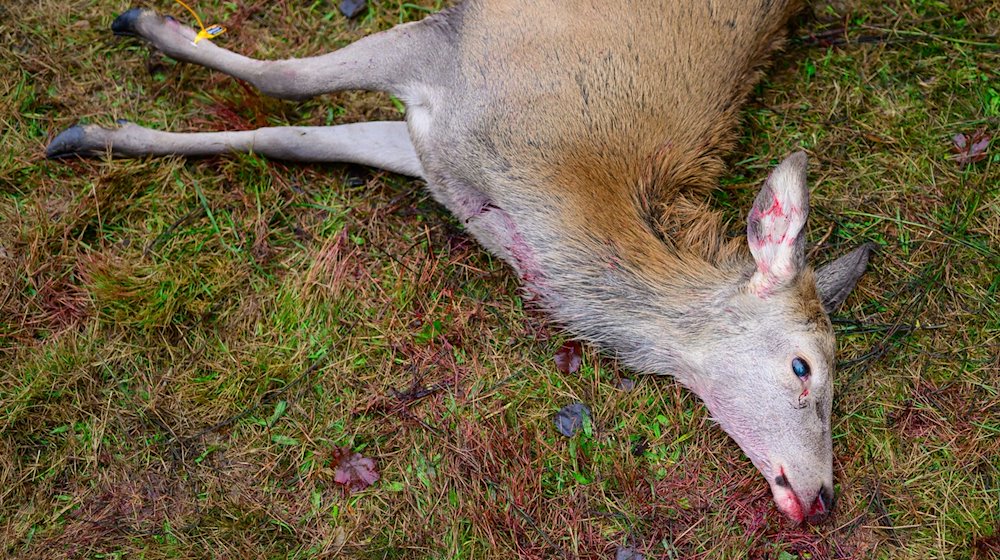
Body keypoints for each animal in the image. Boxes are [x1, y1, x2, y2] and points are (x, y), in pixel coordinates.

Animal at [47, 1, 876, 524]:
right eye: (804, 367)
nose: (824, 497)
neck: (552, 199)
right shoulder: (448, 48)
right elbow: (283, 84)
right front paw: (135, 39)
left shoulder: (434, 147)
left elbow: (289, 138)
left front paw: (95, 134)